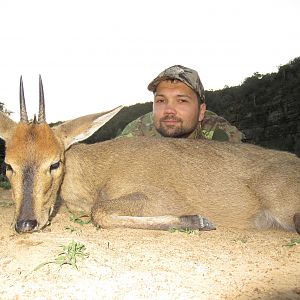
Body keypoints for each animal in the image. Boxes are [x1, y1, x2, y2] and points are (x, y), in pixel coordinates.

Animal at [0, 77, 298, 234]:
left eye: (55, 163)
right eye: (8, 165)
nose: (25, 223)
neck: (96, 175)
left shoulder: (163, 196)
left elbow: (100, 212)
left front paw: (198, 220)